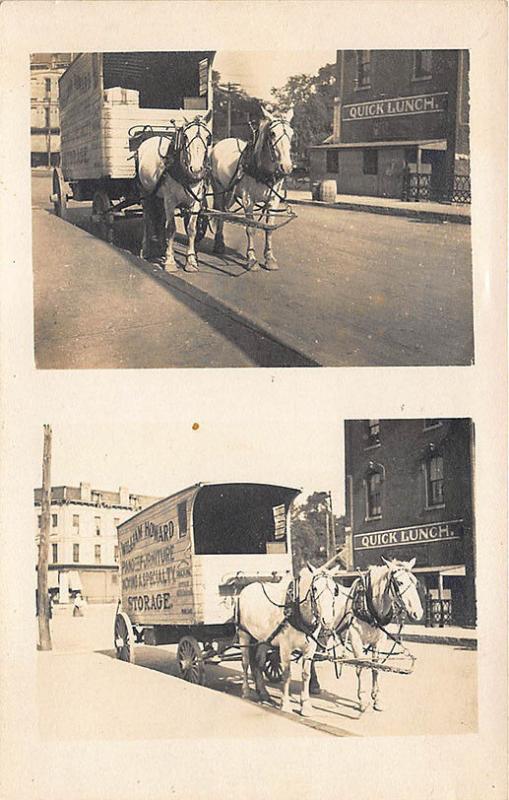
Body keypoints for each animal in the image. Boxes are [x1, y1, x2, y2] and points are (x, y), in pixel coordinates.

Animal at [136, 109, 211, 274]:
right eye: (185, 136)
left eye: (208, 138)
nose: (196, 170)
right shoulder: (170, 200)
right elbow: (171, 229)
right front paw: (170, 262)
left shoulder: (196, 201)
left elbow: (191, 229)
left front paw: (191, 261)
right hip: (146, 193)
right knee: (147, 219)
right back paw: (146, 249)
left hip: (159, 197)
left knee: (160, 218)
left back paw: (162, 246)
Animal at [208, 105, 294, 272]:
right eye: (273, 133)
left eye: (292, 133)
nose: (286, 167)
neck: (262, 170)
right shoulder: (248, 199)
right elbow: (251, 228)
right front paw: (251, 258)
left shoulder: (273, 200)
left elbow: (269, 227)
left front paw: (269, 258)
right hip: (218, 188)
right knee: (219, 212)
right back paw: (219, 244)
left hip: (230, 192)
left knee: (224, 212)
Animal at [237, 564, 338, 720]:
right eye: (315, 588)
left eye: (335, 589)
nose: (327, 621)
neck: (297, 611)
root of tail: (247, 588)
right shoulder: (285, 647)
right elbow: (287, 674)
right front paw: (285, 705)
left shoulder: (310, 648)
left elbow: (306, 675)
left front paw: (306, 706)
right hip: (244, 635)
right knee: (245, 663)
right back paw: (246, 691)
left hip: (263, 639)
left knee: (259, 663)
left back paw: (263, 693)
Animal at [334, 556, 420, 712]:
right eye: (400, 582)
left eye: (415, 582)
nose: (418, 613)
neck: (369, 609)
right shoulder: (356, 640)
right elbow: (361, 666)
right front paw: (362, 700)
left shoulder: (379, 641)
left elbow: (375, 667)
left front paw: (376, 699)